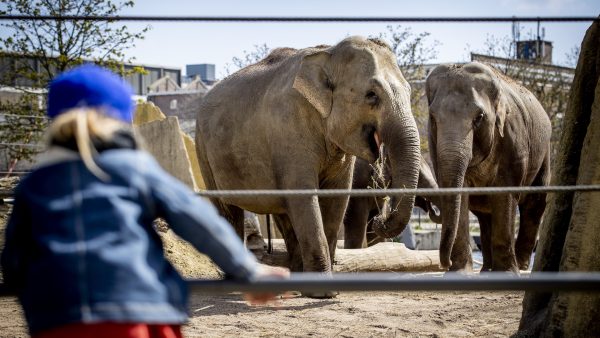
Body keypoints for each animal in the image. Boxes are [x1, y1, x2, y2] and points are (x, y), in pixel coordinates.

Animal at [195, 36, 420, 288]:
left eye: (409, 91)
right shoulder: (288, 128)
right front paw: (322, 291)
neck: (328, 53)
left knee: (282, 211)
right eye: (372, 94)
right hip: (202, 148)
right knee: (228, 209)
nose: (379, 219)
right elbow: (304, 195)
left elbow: (336, 197)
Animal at [426, 62, 548, 274]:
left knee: (534, 205)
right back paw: (486, 269)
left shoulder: (513, 141)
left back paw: (522, 266)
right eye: (432, 117)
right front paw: (459, 272)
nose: (444, 264)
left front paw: (507, 273)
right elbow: (460, 194)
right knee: (484, 214)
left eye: (479, 117)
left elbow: (505, 194)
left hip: (544, 154)